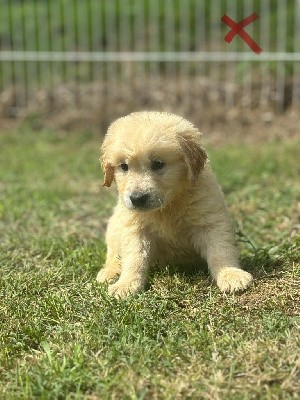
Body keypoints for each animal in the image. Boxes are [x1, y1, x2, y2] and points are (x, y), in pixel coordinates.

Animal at [96, 111, 253, 298]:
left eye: (158, 164)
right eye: (123, 166)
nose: (137, 198)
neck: (168, 206)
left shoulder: (210, 221)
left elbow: (221, 251)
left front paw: (231, 274)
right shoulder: (134, 228)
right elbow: (134, 257)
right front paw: (127, 285)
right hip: (115, 226)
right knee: (113, 253)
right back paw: (110, 272)